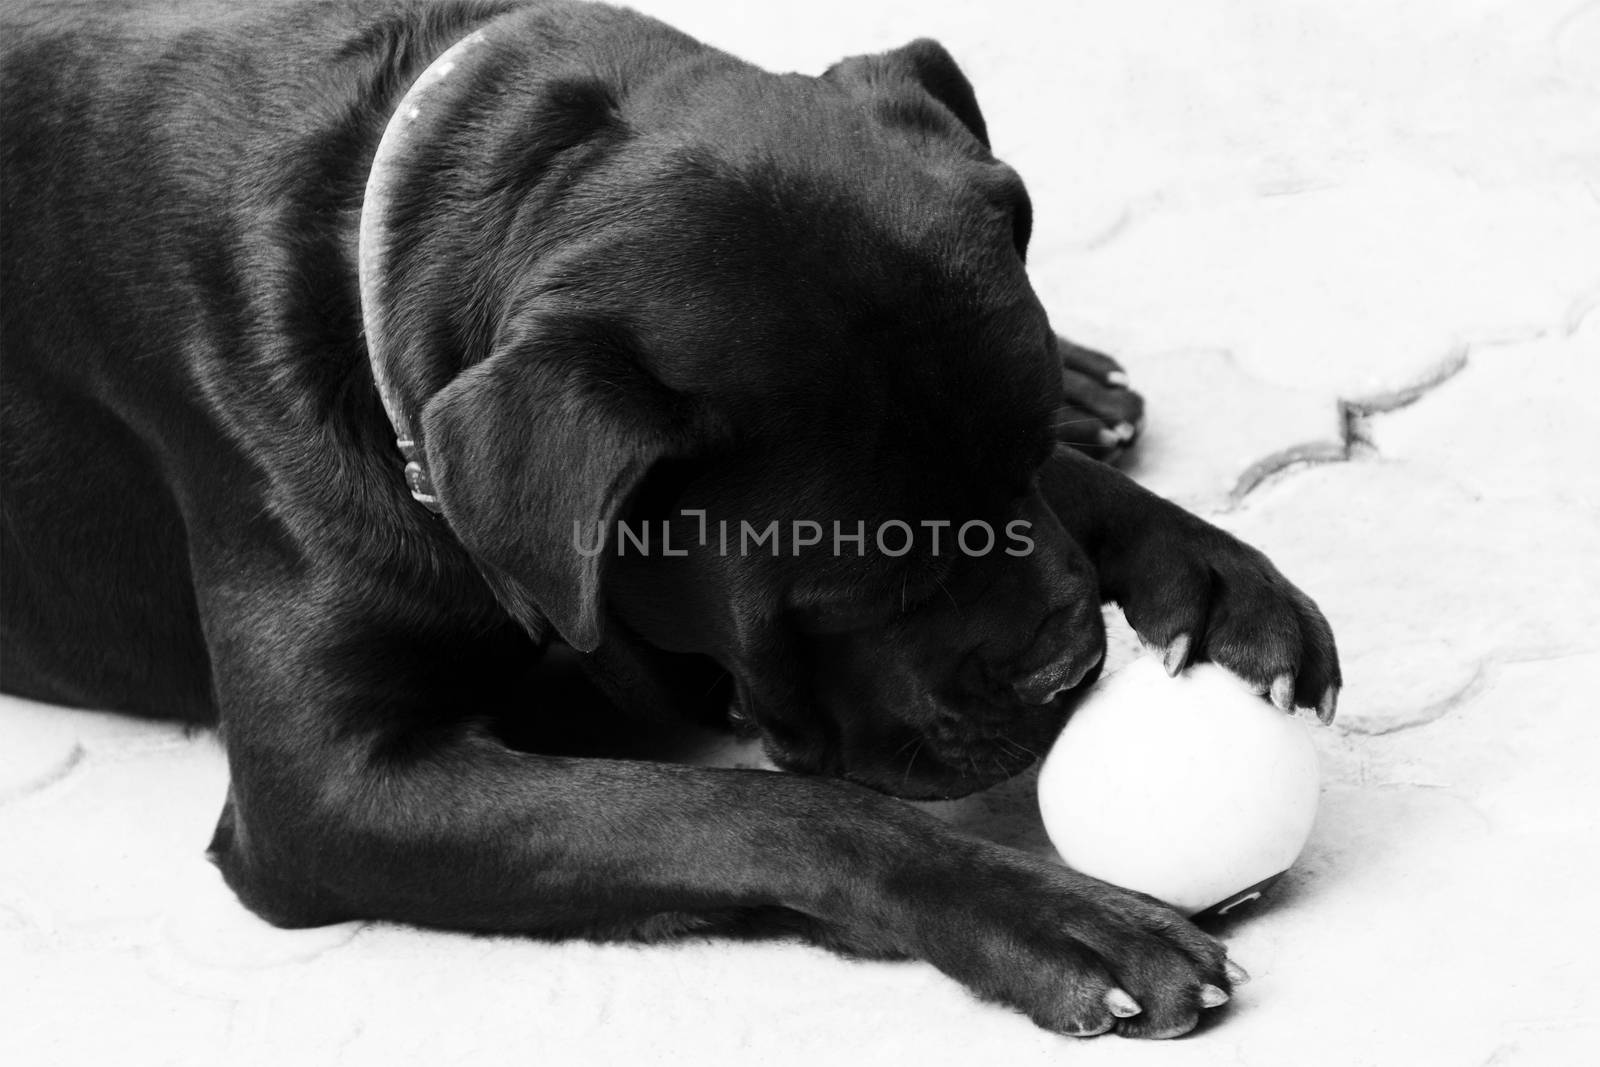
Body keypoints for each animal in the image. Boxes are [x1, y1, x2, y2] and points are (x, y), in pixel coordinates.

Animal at [0, 0, 1337, 1036]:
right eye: (864, 589)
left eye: (1015, 477)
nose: (1069, 666)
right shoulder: (329, 790)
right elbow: (753, 809)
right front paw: (1048, 915)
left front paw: (1208, 571)